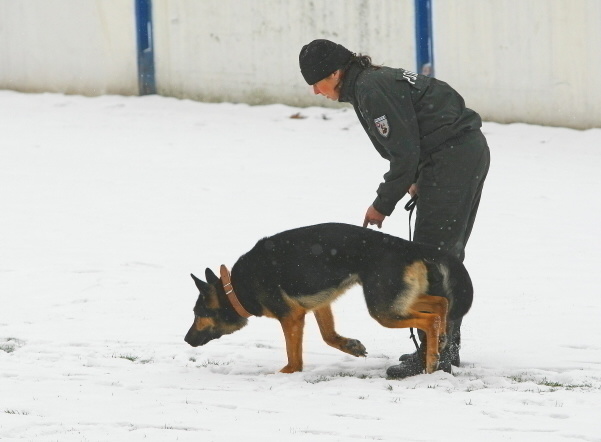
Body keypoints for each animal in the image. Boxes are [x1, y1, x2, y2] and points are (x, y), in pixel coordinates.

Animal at [184, 223, 474, 374]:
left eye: (198, 314)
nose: (186, 339)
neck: (235, 289)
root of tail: (408, 245)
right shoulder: (319, 306)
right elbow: (328, 336)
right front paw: (351, 346)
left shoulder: (291, 317)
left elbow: (294, 356)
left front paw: (287, 373)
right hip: (396, 303)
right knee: (441, 304)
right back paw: (441, 341)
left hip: (383, 309)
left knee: (431, 318)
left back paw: (432, 359)